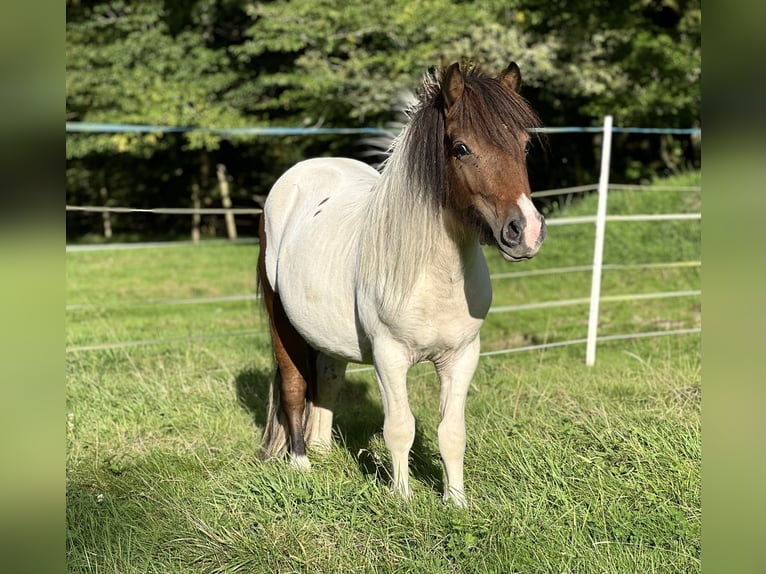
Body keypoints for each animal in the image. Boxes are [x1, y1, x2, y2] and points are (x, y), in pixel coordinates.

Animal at [260, 60, 548, 506]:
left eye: (525, 146)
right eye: (461, 148)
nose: (526, 231)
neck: (433, 276)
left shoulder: (462, 357)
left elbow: (452, 433)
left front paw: (456, 501)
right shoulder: (389, 357)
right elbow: (400, 427)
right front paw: (402, 498)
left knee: (327, 380)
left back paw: (323, 451)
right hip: (281, 321)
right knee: (293, 387)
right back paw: (301, 464)